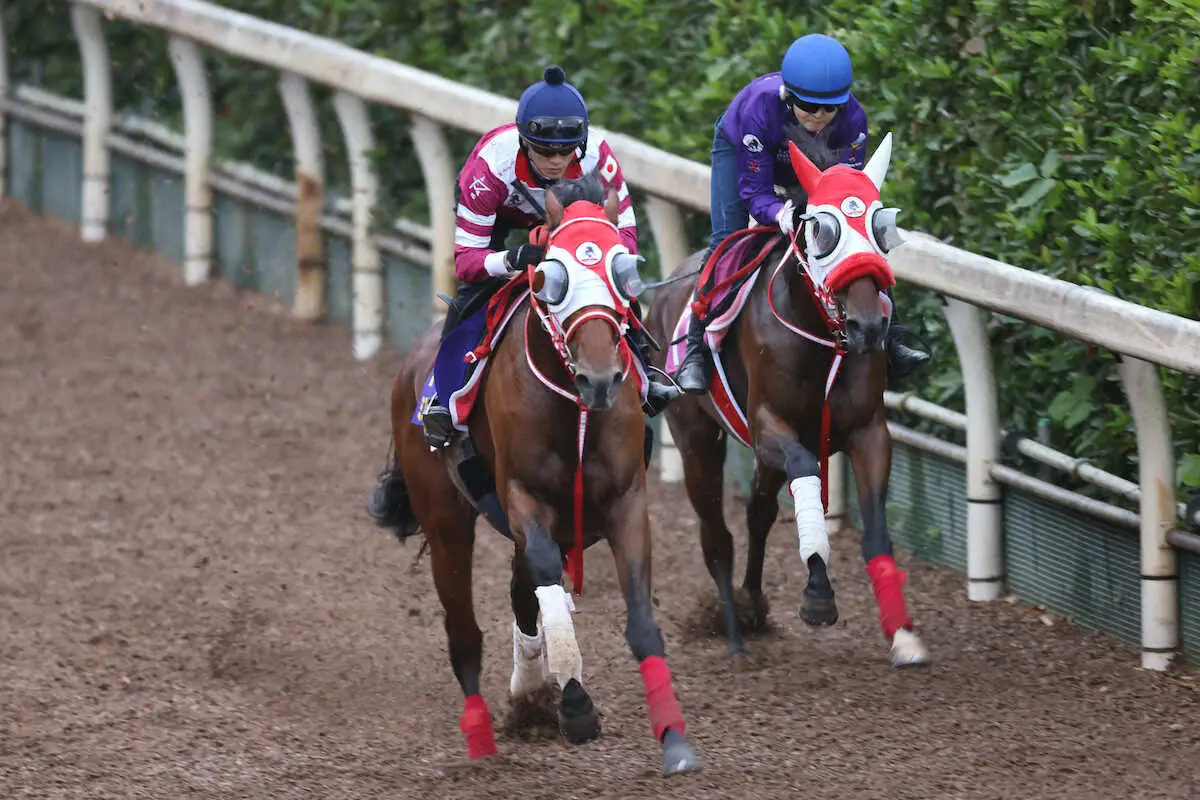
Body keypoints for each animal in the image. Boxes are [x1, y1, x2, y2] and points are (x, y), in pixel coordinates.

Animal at [367, 170, 700, 777]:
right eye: (552, 276)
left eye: (623, 269)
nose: (600, 377)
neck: (572, 407)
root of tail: (411, 366)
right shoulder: (523, 498)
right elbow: (544, 577)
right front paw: (575, 706)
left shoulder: (624, 502)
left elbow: (639, 619)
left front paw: (675, 740)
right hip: (446, 518)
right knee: (464, 631)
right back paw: (482, 742)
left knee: (522, 595)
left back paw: (529, 694)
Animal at [648, 133, 926, 671]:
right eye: (823, 228)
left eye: (880, 225)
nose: (869, 326)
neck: (819, 336)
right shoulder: (768, 427)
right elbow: (804, 472)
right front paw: (818, 596)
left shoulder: (868, 431)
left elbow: (875, 528)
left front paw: (902, 633)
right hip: (696, 438)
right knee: (717, 536)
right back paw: (734, 634)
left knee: (758, 512)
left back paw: (753, 604)